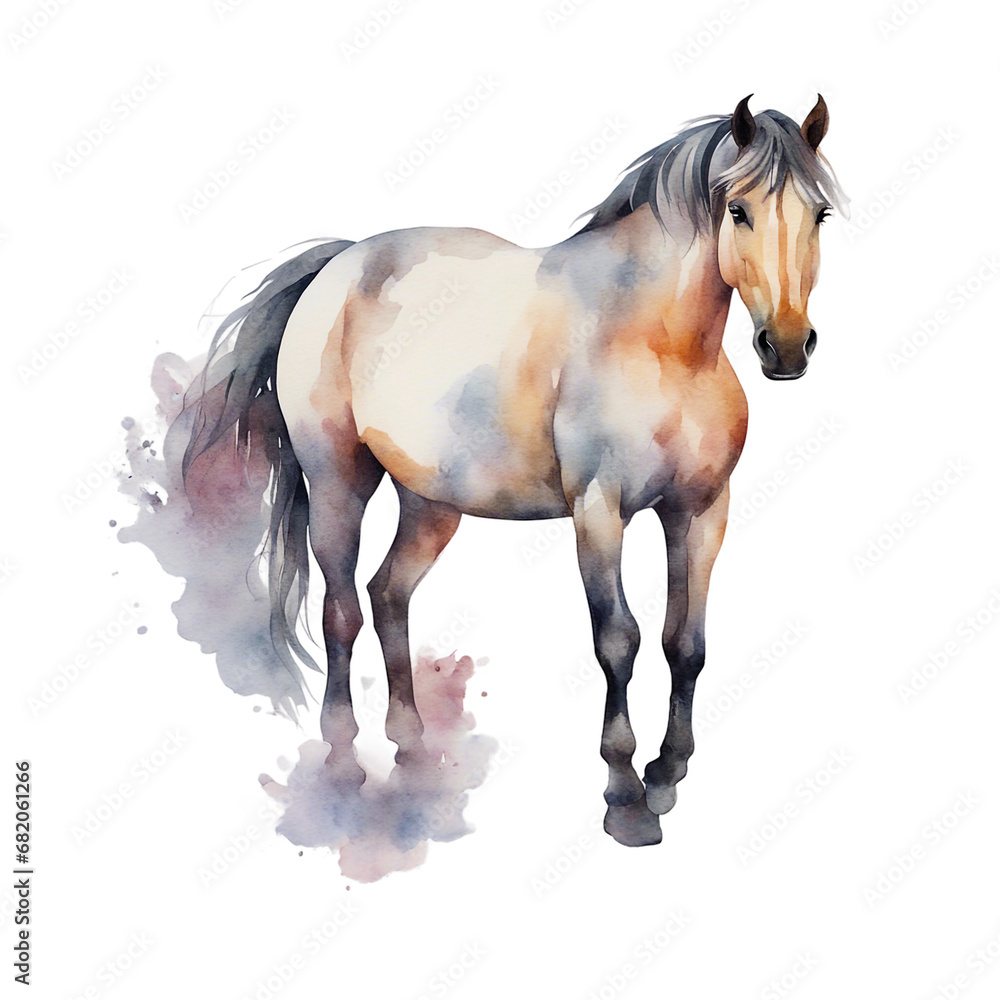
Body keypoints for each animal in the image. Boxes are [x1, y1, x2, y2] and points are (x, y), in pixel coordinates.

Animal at [164, 95, 846, 849]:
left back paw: (413, 749)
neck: (658, 344)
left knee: (388, 595)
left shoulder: (700, 510)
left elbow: (685, 643)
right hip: (339, 481)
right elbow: (619, 639)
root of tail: (338, 263)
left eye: (819, 213)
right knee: (342, 610)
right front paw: (625, 796)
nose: (787, 346)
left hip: (431, 504)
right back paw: (344, 764)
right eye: (738, 209)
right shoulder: (599, 510)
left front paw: (667, 774)